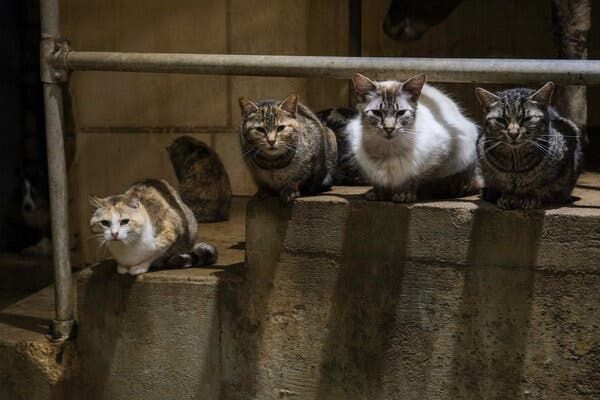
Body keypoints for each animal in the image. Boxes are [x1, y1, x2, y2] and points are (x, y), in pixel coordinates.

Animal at [344, 73, 480, 202]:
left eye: (401, 113)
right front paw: (377, 193)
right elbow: (378, 181)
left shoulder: (436, 157)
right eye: (377, 113)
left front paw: (405, 194)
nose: (389, 129)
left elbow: (414, 179)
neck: (388, 151)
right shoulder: (370, 166)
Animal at [476, 83, 584, 211]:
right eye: (501, 120)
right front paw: (508, 197)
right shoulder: (489, 172)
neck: (516, 165)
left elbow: (537, 186)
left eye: (526, 119)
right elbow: (505, 187)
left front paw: (529, 198)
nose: (513, 133)